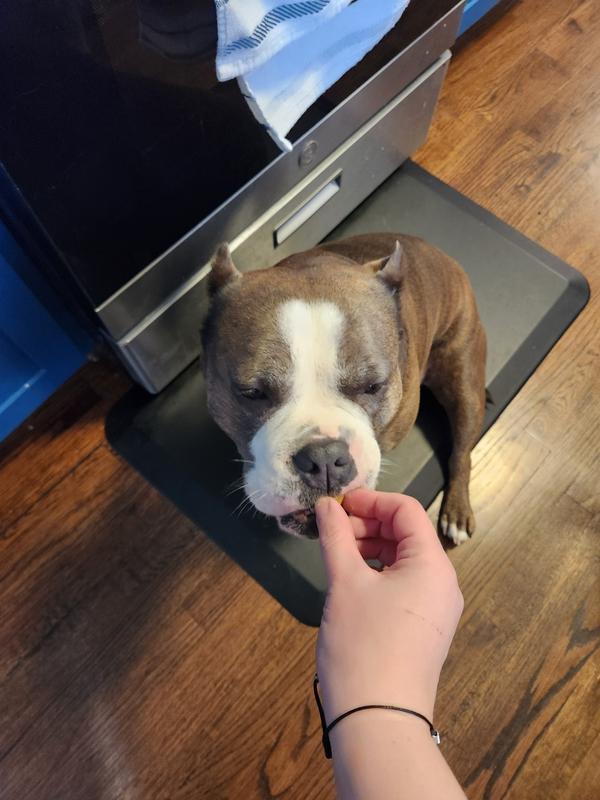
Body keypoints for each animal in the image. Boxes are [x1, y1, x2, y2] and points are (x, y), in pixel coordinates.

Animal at [201, 233, 486, 545]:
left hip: (465, 386)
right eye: (252, 393)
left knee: (462, 452)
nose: (324, 458)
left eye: (373, 386)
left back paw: (457, 512)